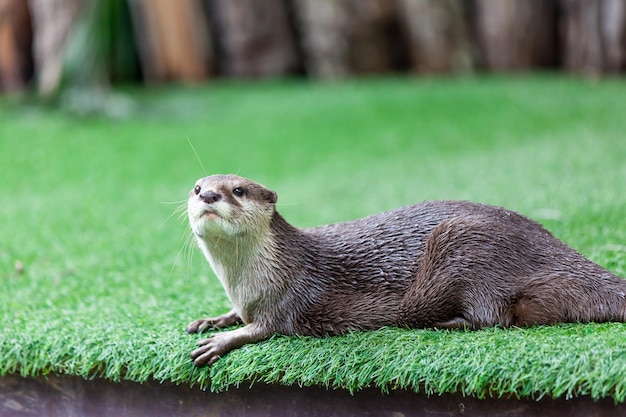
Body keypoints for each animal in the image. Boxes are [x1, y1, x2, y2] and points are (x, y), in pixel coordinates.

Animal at [185, 174, 624, 366]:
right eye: (197, 187)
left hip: (467, 243)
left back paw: (442, 323)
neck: (245, 283)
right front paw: (211, 320)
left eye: (238, 190)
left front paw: (221, 341)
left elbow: (264, 329)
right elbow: (237, 315)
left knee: (494, 316)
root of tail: (553, 248)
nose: (208, 195)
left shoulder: (291, 295)